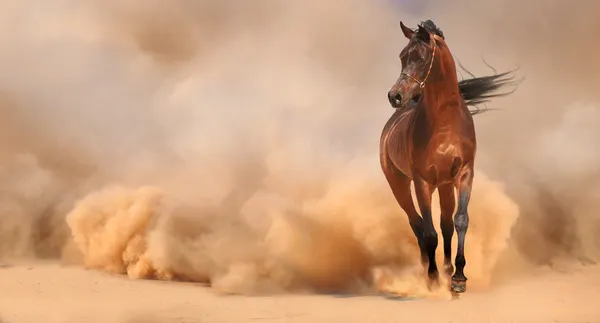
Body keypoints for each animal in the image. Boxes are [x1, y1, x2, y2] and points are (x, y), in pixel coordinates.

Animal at [382, 19, 516, 294]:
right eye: (402, 56)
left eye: (421, 58)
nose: (395, 96)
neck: (445, 124)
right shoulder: (422, 182)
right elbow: (429, 232)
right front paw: (433, 280)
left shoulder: (464, 174)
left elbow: (460, 221)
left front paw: (458, 278)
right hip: (399, 184)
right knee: (417, 224)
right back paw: (428, 270)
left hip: (444, 186)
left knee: (444, 224)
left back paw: (445, 269)